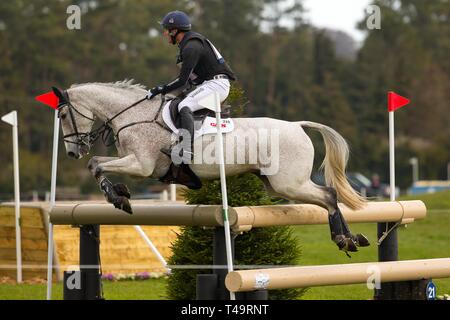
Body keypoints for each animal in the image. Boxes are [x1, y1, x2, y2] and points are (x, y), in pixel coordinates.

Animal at [52, 80, 370, 255]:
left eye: (64, 115)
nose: (72, 151)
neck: (133, 115)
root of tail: (297, 125)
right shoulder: (138, 165)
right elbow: (97, 164)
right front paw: (119, 194)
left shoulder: (142, 166)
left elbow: (96, 166)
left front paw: (118, 197)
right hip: (278, 183)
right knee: (329, 196)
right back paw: (352, 238)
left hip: (288, 184)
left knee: (329, 195)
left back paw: (343, 239)